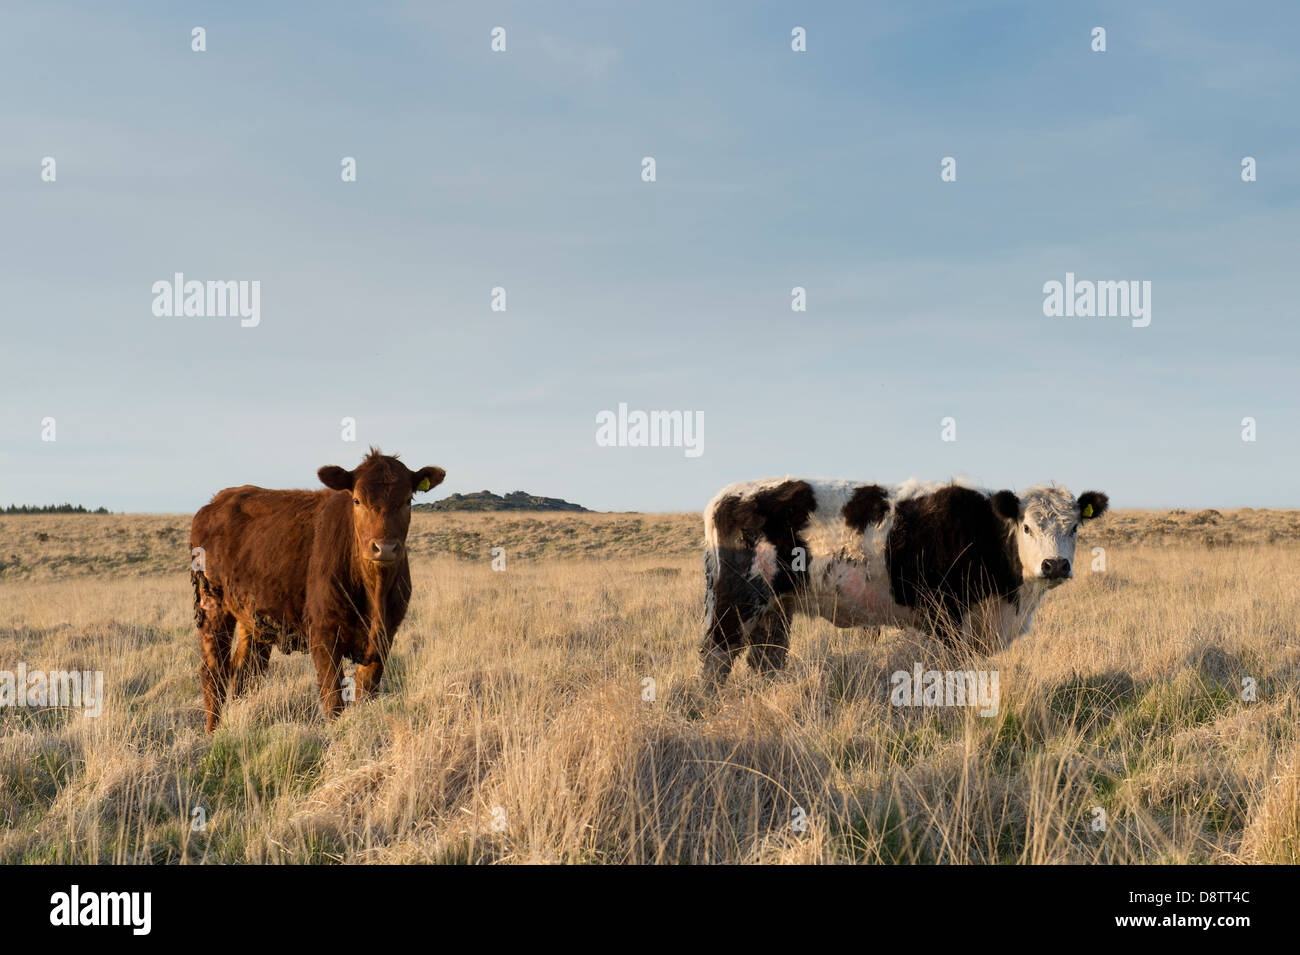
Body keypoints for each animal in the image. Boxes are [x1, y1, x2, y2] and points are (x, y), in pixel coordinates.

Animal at [189, 446, 447, 732]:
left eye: (408, 501)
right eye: (357, 500)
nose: (385, 547)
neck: (374, 591)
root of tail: (216, 502)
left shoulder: (384, 637)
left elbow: (366, 695)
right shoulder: (323, 634)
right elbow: (333, 700)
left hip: (253, 618)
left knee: (246, 672)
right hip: (212, 605)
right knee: (214, 672)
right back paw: (212, 732)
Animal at [702, 480, 1107, 691]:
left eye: (1075, 527)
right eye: (1027, 527)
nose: (1054, 565)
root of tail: (726, 496)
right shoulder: (946, 615)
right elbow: (950, 670)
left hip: (775, 606)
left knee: (766, 660)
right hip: (738, 599)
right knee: (716, 655)